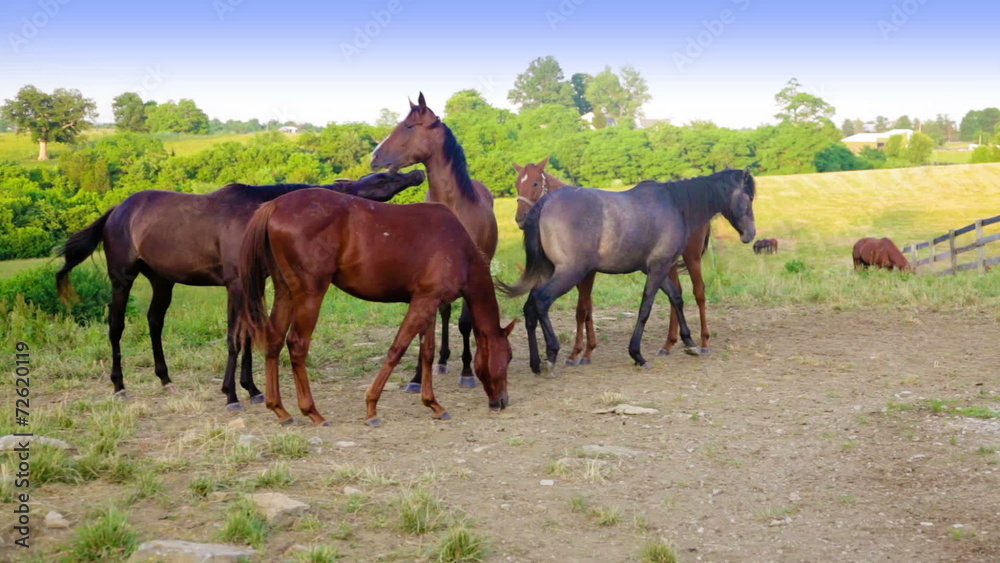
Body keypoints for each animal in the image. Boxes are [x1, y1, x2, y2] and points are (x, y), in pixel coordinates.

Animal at [55, 170, 426, 410]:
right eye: (381, 179)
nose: (418, 174)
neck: (257, 215)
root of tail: (116, 211)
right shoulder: (235, 285)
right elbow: (235, 337)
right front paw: (232, 394)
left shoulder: (253, 284)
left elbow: (249, 334)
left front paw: (252, 388)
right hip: (122, 278)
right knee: (116, 325)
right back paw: (119, 385)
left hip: (162, 280)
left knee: (154, 321)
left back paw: (165, 379)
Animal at [237, 189, 516, 427]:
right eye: (509, 356)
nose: (502, 402)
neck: (459, 247)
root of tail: (274, 206)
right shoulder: (424, 301)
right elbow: (397, 348)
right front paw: (371, 407)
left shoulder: (429, 301)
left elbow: (427, 352)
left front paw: (433, 403)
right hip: (310, 294)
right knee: (296, 344)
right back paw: (312, 411)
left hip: (285, 293)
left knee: (274, 339)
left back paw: (280, 409)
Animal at [370, 93, 499, 393]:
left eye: (408, 126)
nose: (374, 157)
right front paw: (417, 378)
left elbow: (466, 323)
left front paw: (467, 372)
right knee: (444, 312)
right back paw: (441, 360)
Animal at [498, 168, 756, 373]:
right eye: (748, 197)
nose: (750, 234)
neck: (675, 205)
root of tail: (545, 203)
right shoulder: (659, 267)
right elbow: (646, 307)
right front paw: (637, 354)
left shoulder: (656, 268)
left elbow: (676, 298)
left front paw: (689, 342)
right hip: (569, 273)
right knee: (541, 301)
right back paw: (552, 353)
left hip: (549, 271)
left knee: (530, 307)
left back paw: (535, 363)